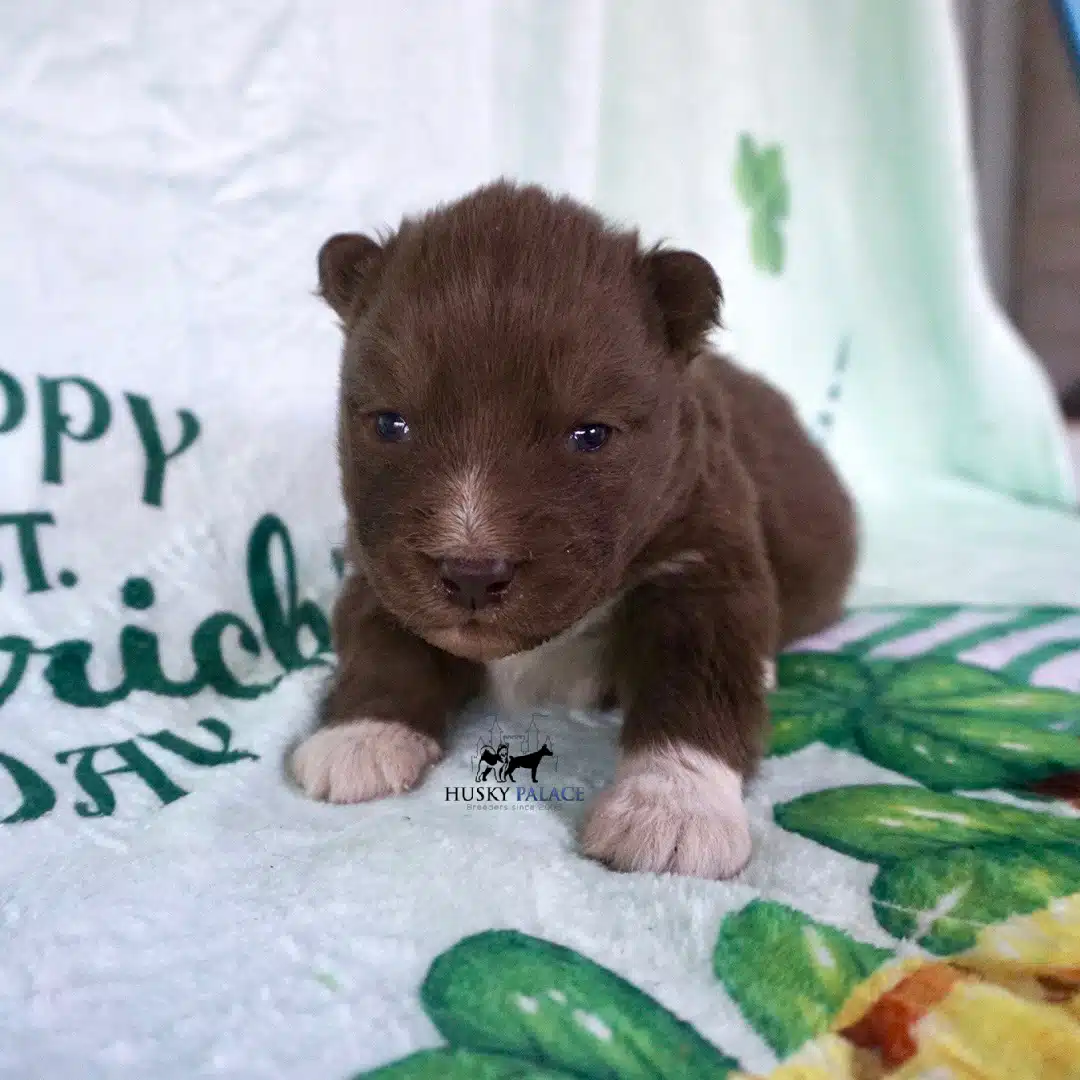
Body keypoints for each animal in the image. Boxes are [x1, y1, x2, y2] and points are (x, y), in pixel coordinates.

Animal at [291, 181, 855, 881]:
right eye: (391, 424)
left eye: (590, 435)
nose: (471, 574)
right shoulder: (379, 566)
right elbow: (383, 646)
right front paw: (360, 736)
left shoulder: (703, 566)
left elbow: (695, 685)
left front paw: (672, 809)